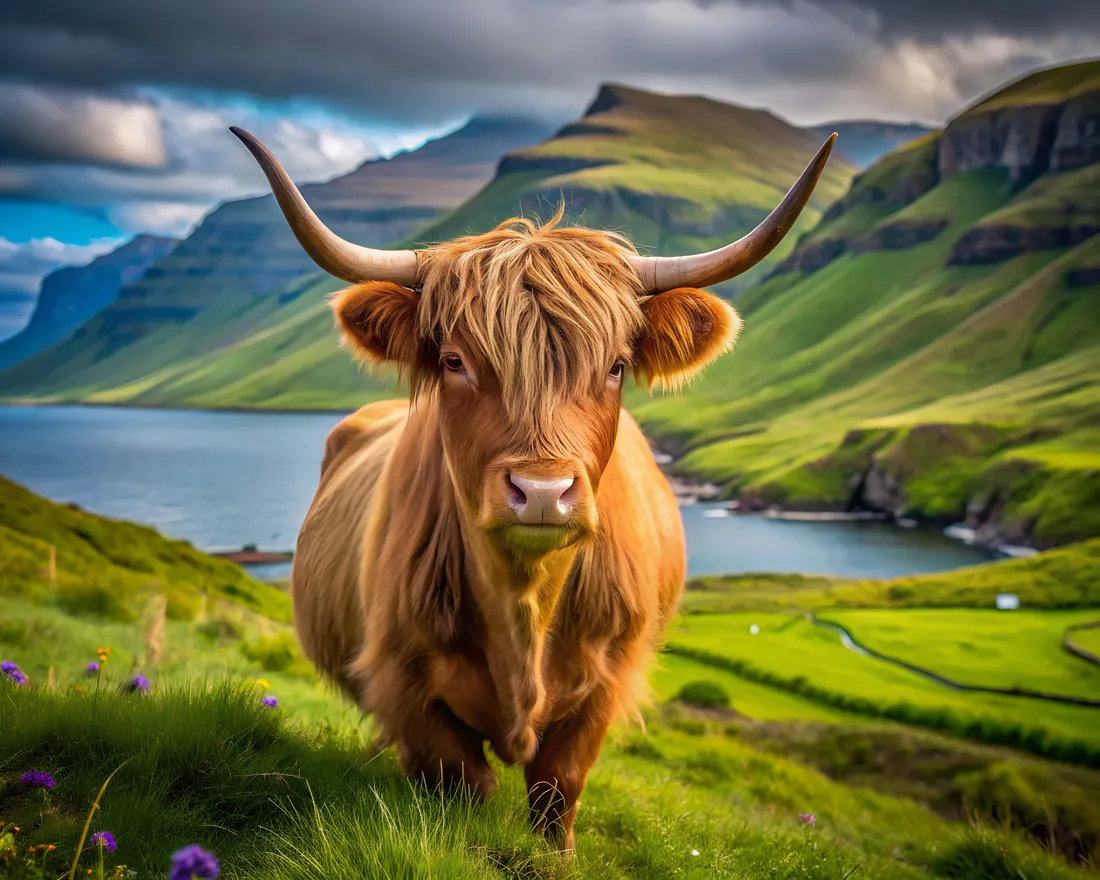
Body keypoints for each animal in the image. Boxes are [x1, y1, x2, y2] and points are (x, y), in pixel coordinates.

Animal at [232, 125, 836, 852]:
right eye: (455, 361)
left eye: (616, 366)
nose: (543, 491)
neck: (524, 605)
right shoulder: (404, 679)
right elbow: (461, 782)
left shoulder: (606, 682)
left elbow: (558, 788)